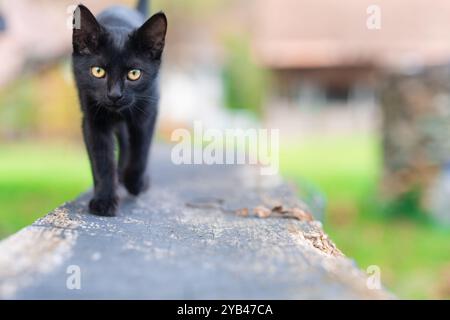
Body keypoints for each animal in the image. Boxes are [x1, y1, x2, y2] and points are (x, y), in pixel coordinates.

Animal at [72, 0, 167, 218]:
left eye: (134, 74)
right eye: (98, 71)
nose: (115, 95)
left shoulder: (147, 113)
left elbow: (140, 151)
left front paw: (136, 182)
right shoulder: (93, 121)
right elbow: (102, 160)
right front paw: (104, 200)